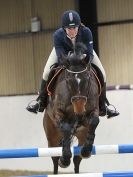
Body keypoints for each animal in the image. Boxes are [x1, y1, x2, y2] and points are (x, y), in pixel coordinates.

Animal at [43, 42, 100, 174]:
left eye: (87, 78)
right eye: (68, 79)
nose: (79, 109)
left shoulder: (92, 111)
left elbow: (94, 121)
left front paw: (87, 151)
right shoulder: (58, 113)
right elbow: (66, 128)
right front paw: (64, 160)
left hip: (81, 134)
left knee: (77, 159)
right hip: (52, 136)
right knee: (55, 157)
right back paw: (61, 162)